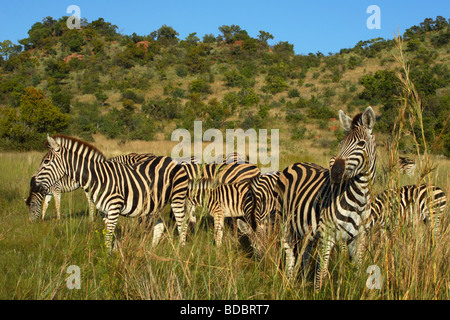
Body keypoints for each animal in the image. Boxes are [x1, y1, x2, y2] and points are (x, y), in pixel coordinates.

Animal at [26, 152, 156, 222]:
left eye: (32, 209)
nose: (31, 223)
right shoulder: (49, 193)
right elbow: (45, 205)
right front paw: (43, 218)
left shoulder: (56, 189)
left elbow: (57, 205)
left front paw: (58, 220)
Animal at [276, 107, 378, 290]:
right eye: (341, 144)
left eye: (361, 144)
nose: (335, 173)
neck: (359, 200)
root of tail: (295, 163)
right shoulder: (327, 235)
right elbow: (321, 274)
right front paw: (318, 293)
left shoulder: (359, 239)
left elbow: (357, 270)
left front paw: (355, 290)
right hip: (285, 222)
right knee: (290, 256)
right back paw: (288, 284)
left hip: (307, 230)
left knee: (305, 255)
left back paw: (302, 284)